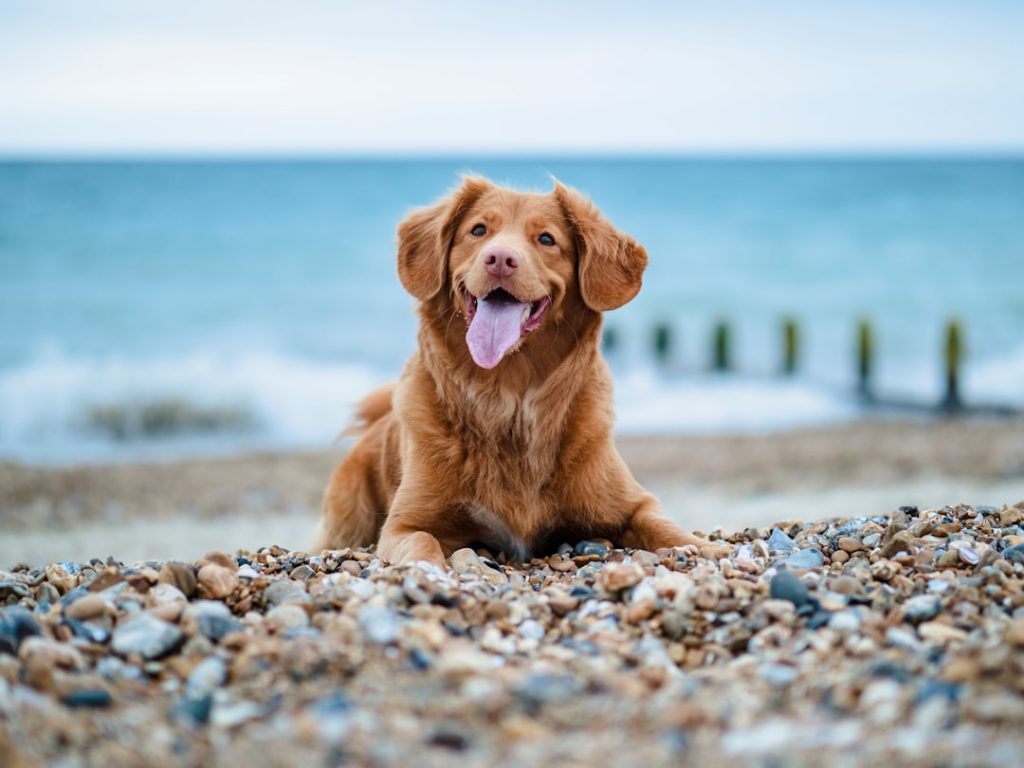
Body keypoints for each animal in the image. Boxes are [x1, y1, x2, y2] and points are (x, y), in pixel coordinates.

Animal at [315, 179, 733, 565]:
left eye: (546, 239)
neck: (508, 398)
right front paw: (429, 571)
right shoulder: (404, 524)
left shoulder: (633, 503)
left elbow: (663, 526)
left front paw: (708, 549)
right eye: (478, 230)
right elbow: (422, 542)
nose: (500, 258)